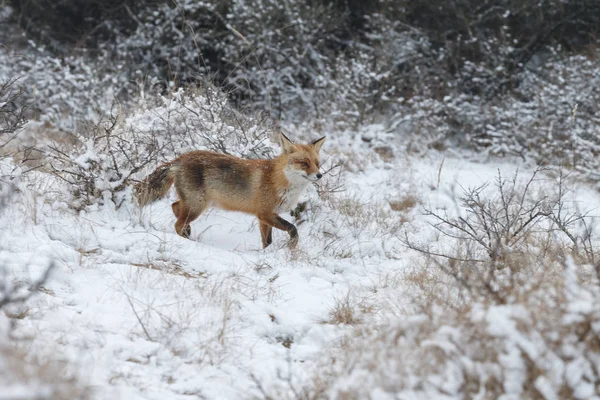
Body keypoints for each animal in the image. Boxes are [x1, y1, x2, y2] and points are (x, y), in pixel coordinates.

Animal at [135, 133, 326, 248]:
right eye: (304, 163)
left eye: (317, 163)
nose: (319, 175)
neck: (278, 180)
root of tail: (180, 158)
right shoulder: (265, 213)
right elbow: (293, 228)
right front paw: (291, 247)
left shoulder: (264, 217)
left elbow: (267, 241)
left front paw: (268, 255)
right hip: (197, 205)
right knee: (177, 223)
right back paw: (187, 239)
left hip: (195, 203)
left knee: (175, 207)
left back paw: (188, 232)